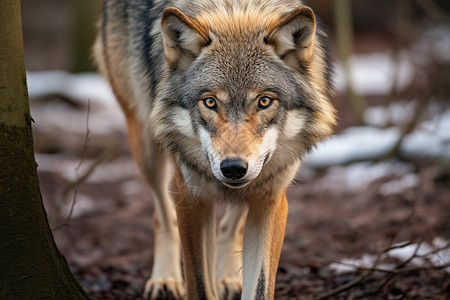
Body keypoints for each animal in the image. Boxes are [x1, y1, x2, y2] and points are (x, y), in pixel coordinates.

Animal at [93, 1, 336, 298]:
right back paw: (165, 279)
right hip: (147, 146)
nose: (232, 168)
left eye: (264, 101)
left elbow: (260, 286)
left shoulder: (272, 199)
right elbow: (197, 283)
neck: (237, 12)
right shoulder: (190, 195)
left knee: (228, 224)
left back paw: (227, 278)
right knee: (162, 214)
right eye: (210, 102)